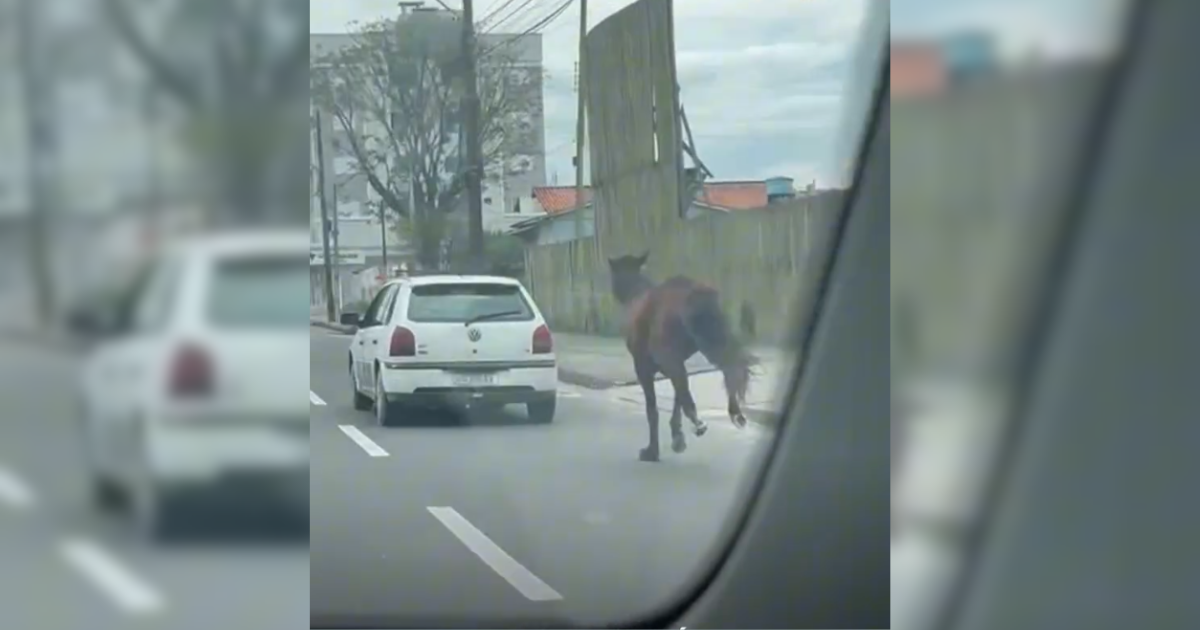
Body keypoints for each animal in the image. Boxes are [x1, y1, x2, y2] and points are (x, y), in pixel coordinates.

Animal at [604, 250, 753, 460]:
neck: (634, 292)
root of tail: (698, 295)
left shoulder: (645, 366)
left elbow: (653, 409)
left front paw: (652, 450)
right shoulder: (674, 361)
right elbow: (677, 397)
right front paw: (677, 437)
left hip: (674, 353)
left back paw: (699, 422)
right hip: (714, 339)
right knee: (731, 369)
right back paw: (735, 413)